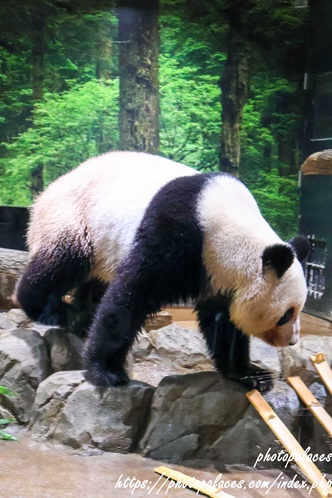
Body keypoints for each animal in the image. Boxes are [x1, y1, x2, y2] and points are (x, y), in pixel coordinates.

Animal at [16, 150, 310, 392]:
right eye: (286, 314)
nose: (293, 340)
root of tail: (48, 190)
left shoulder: (217, 274)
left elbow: (223, 322)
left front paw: (251, 374)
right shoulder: (177, 235)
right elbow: (132, 294)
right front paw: (108, 372)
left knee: (95, 283)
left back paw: (82, 317)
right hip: (74, 219)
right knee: (60, 262)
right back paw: (53, 310)